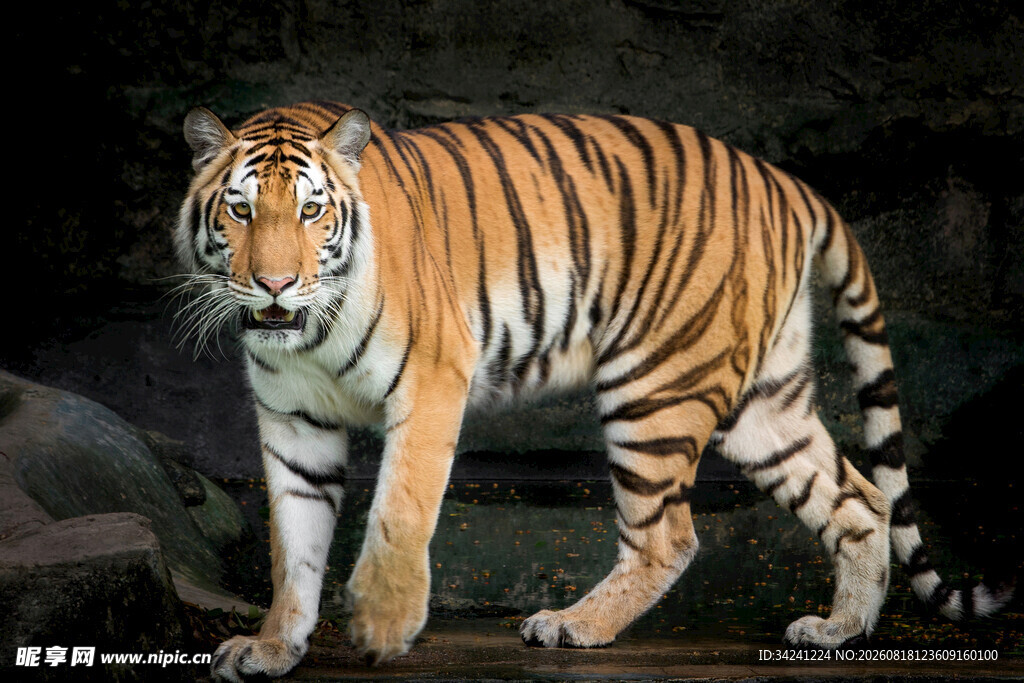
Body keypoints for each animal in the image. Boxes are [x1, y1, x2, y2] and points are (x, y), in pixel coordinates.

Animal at [175, 101, 1012, 681]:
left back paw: (574, 625)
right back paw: (840, 631)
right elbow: (293, 541)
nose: (275, 283)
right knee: (861, 498)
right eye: (240, 209)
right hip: (763, 402)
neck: (307, 332)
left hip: (655, 383)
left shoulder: (433, 379)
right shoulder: (292, 418)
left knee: (670, 536)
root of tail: (787, 181)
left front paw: (383, 625)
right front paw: (274, 645)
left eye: (312, 209)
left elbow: (399, 510)